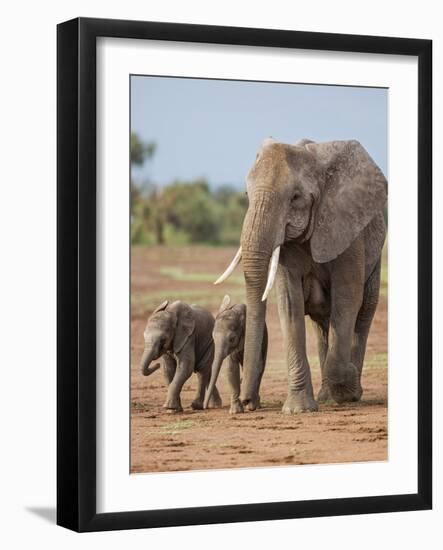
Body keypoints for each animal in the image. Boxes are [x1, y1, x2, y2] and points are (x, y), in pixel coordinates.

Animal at [217, 138, 386, 414]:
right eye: (246, 195)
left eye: (295, 198)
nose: (247, 402)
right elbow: (289, 304)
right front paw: (298, 410)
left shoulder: (347, 231)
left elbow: (347, 298)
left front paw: (348, 388)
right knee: (323, 324)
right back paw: (327, 396)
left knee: (362, 314)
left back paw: (349, 391)